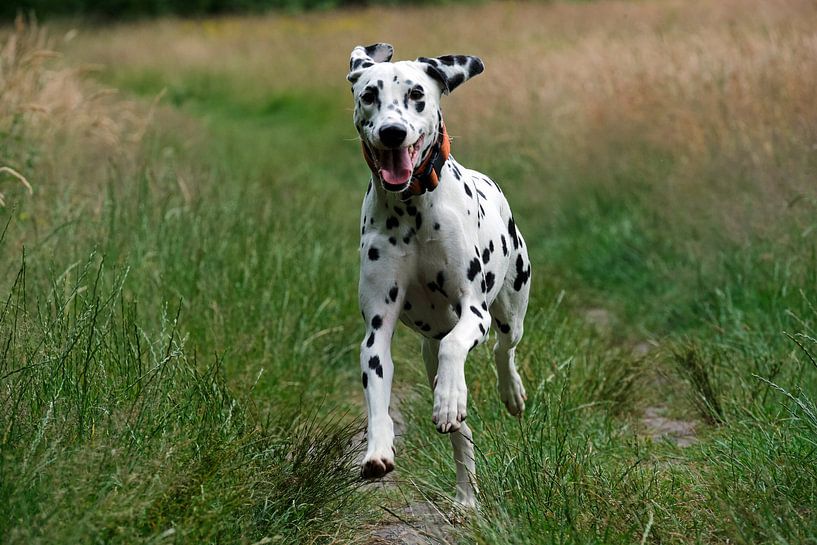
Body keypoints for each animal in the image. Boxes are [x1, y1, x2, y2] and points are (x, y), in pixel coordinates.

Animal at [348, 42, 532, 506]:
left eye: (417, 94)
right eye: (369, 95)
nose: (392, 132)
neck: (411, 206)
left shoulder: (473, 311)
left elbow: (456, 347)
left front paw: (449, 399)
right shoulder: (377, 330)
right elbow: (378, 395)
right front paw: (378, 450)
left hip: (511, 309)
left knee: (504, 349)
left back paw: (509, 393)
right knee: (462, 435)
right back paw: (466, 496)